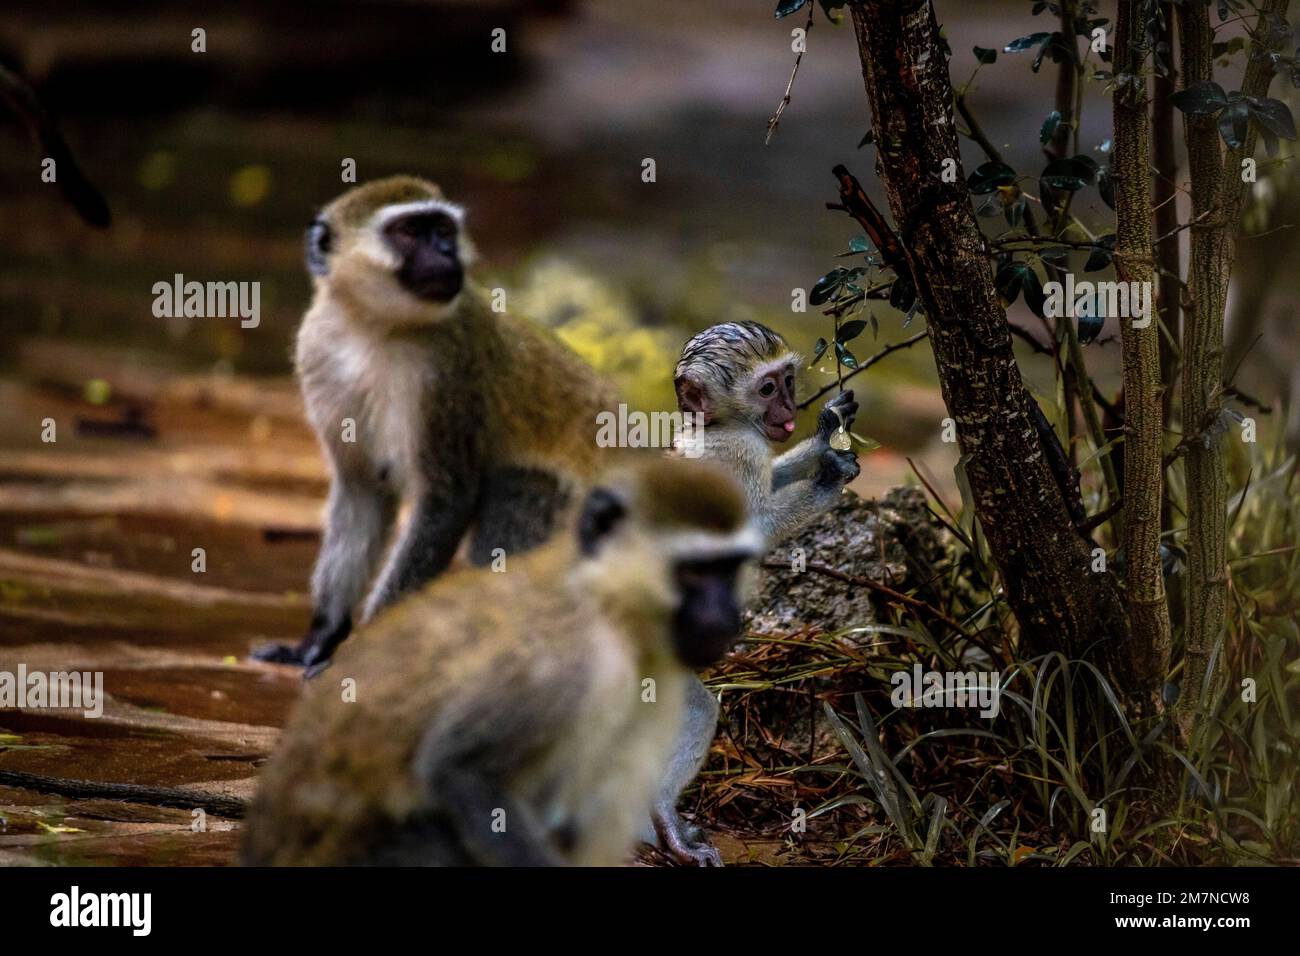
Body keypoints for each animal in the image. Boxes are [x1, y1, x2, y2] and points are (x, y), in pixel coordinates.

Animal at [257, 179, 618, 671]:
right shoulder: (319, 350)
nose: (447, 250)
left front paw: (370, 651)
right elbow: (362, 490)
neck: (373, 329)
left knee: (521, 486)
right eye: (410, 231)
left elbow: (446, 499)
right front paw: (321, 636)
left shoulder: (448, 370)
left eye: (444, 229)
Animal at [670, 321, 863, 546]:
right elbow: (755, 526)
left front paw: (827, 432)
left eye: (788, 381)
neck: (722, 425)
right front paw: (831, 476)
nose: (789, 406)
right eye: (768, 388)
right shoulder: (743, 447)